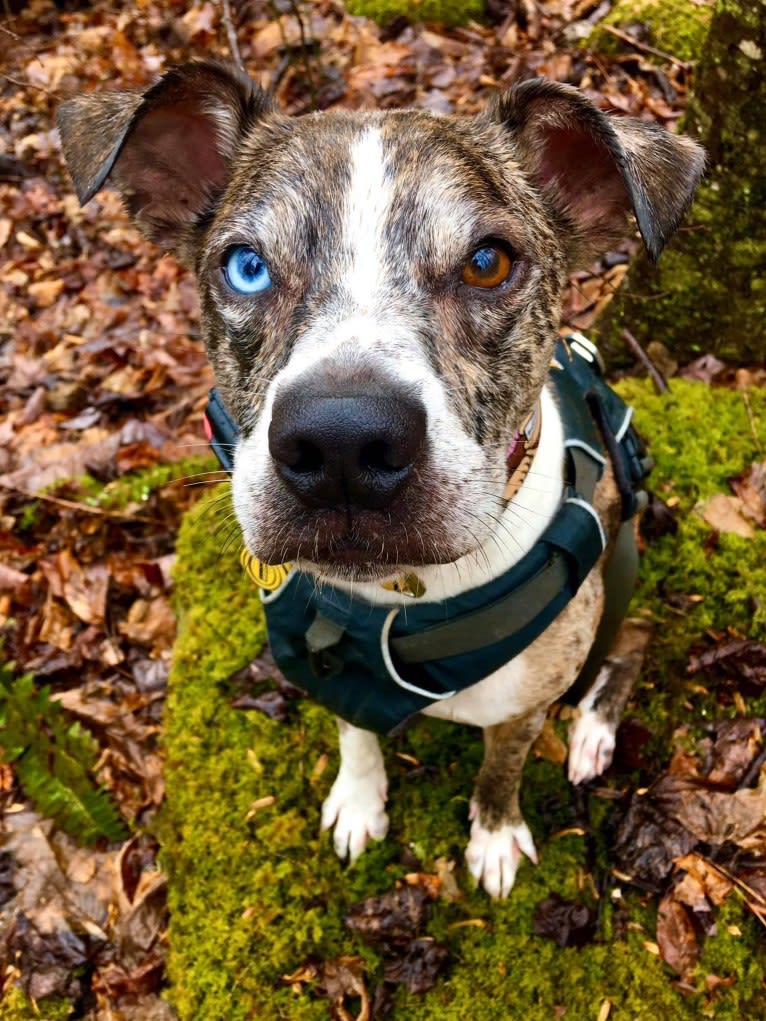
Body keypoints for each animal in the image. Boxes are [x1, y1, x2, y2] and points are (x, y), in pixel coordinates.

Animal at [58, 61, 706, 894]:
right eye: (246, 266)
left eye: (488, 261)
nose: (341, 441)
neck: (404, 603)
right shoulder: (332, 663)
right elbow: (354, 732)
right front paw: (359, 800)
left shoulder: (523, 704)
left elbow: (501, 769)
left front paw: (494, 837)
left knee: (635, 639)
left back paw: (593, 728)